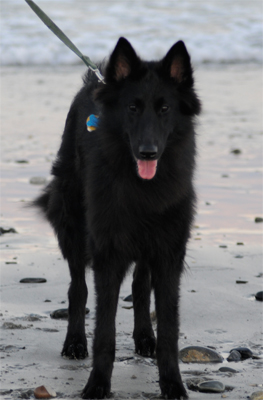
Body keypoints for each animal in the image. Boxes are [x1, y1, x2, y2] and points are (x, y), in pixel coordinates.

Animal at [34, 36, 201, 396]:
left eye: (164, 109)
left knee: (139, 285)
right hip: (73, 225)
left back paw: (144, 337)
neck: (143, 188)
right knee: (77, 288)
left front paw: (172, 384)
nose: (148, 152)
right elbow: (104, 330)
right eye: (132, 108)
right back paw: (75, 342)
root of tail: (95, 81)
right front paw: (97, 383)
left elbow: (169, 328)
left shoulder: (168, 254)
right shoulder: (108, 255)